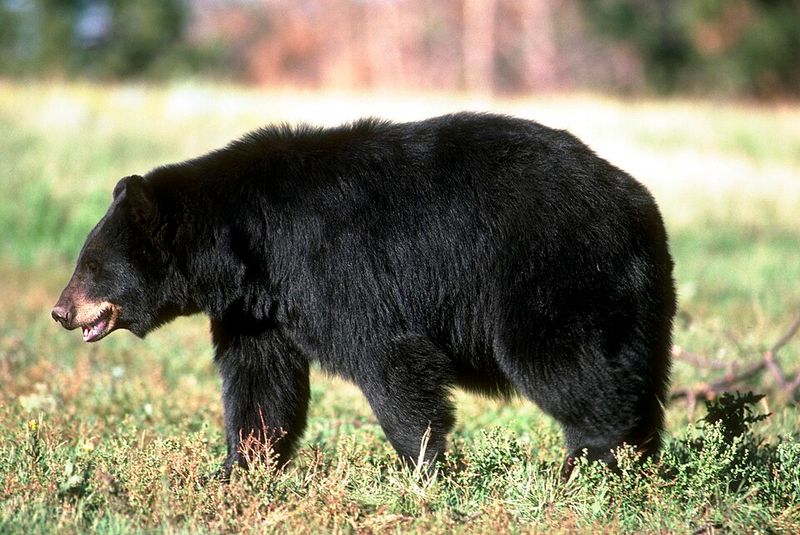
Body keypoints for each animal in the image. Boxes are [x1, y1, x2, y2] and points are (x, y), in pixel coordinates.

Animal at [52, 112, 675, 480]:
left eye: (92, 265)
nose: (61, 311)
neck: (248, 243)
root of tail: (638, 202)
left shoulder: (334, 266)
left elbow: (388, 357)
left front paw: (423, 470)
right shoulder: (257, 308)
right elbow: (260, 382)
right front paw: (237, 471)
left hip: (552, 271)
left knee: (566, 367)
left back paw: (590, 464)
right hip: (635, 297)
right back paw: (638, 462)